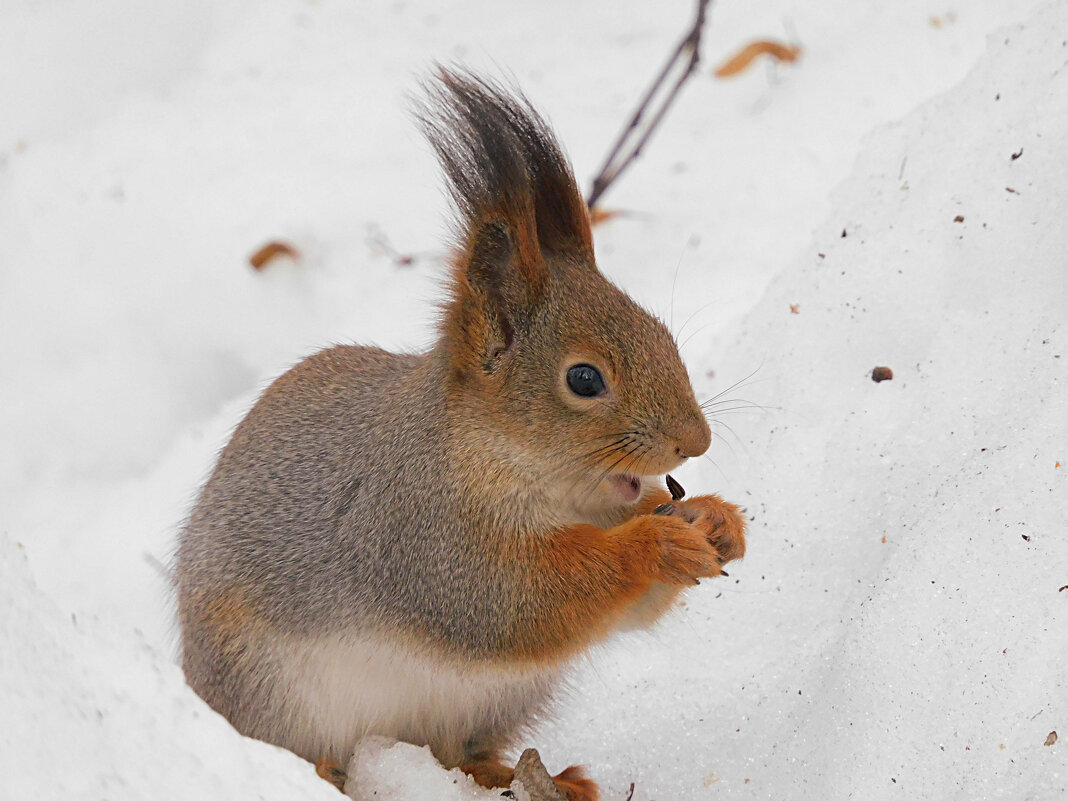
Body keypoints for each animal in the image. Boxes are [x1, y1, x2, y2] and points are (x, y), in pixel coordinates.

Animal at [175, 70, 747, 801]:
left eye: (663, 334)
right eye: (584, 379)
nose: (695, 442)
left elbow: (625, 609)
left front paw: (718, 519)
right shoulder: (425, 538)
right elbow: (514, 604)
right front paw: (652, 544)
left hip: (493, 701)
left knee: (457, 752)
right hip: (269, 684)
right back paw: (326, 770)